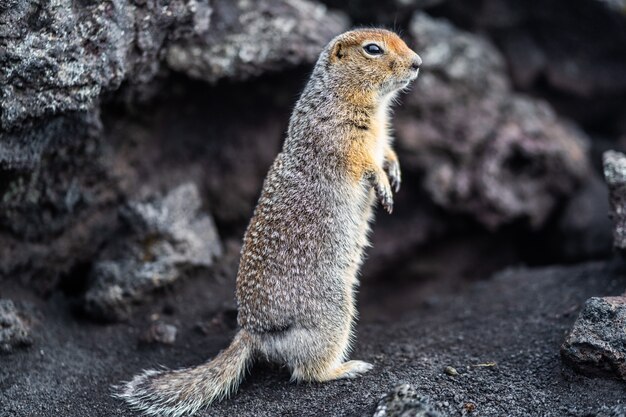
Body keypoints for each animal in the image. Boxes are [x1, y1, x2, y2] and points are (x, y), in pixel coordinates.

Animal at [117, 27, 420, 414]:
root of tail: (253, 333)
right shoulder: (341, 137)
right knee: (307, 372)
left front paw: (394, 171)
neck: (368, 104)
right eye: (373, 49)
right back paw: (347, 367)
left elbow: (386, 152)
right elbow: (362, 162)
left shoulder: (381, 134)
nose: (418, 62)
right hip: (334, 314)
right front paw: (382, 182)